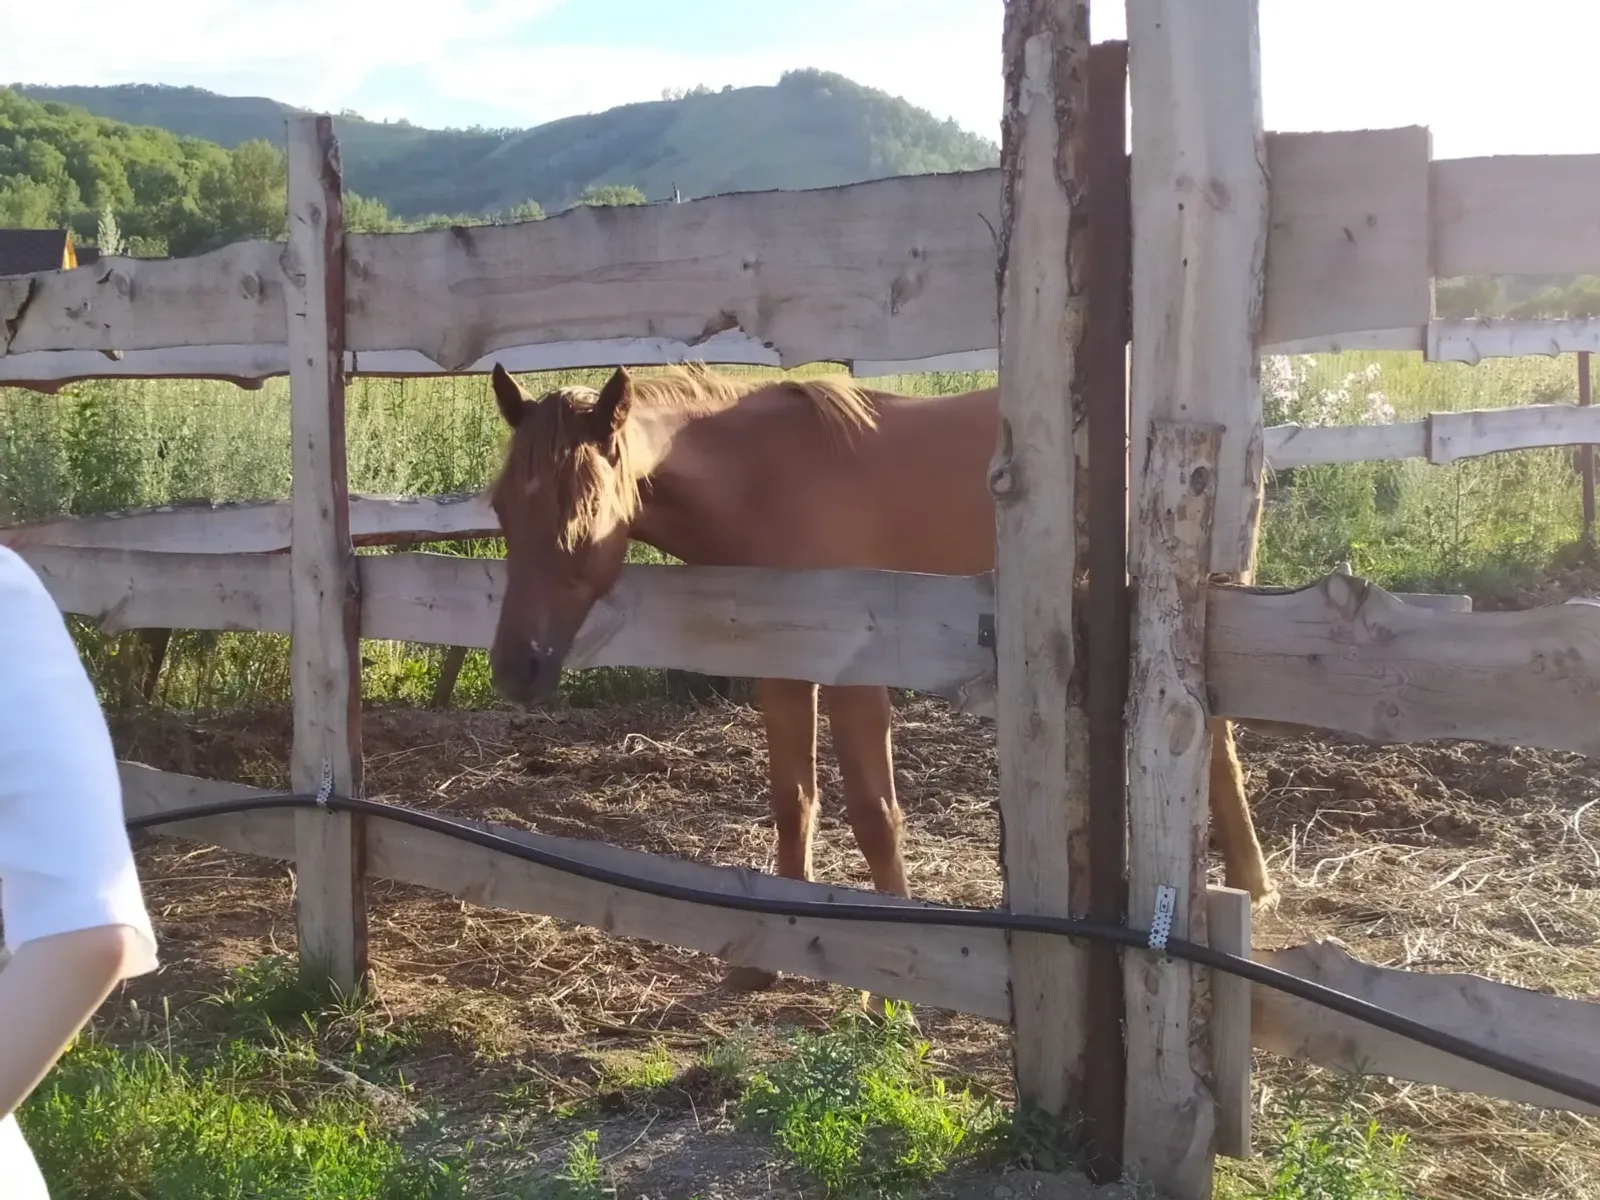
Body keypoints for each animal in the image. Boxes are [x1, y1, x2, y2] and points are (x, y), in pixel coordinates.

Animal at [481, 361, 1274, 993]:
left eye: (582, 511)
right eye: (500, 505)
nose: (516, 668)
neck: (768, 483)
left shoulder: (856, 677)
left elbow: (873, 814)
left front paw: (889, 991)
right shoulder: (780, 670)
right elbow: (793, 802)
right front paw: (763, 961)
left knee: (1217, 738)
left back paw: (1250, 884)